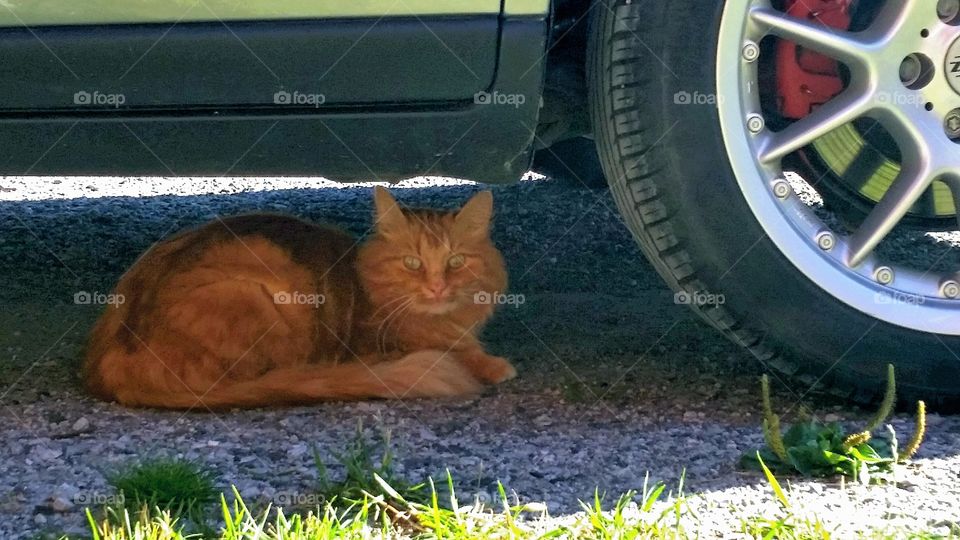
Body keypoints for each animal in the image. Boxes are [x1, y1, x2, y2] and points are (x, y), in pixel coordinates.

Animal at [82, 187, 516, 410]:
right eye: (412, 263)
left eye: (456, 262)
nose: (437, 287)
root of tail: (113, 361)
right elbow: (466, 356)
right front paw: (494, 365)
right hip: (260, 296)